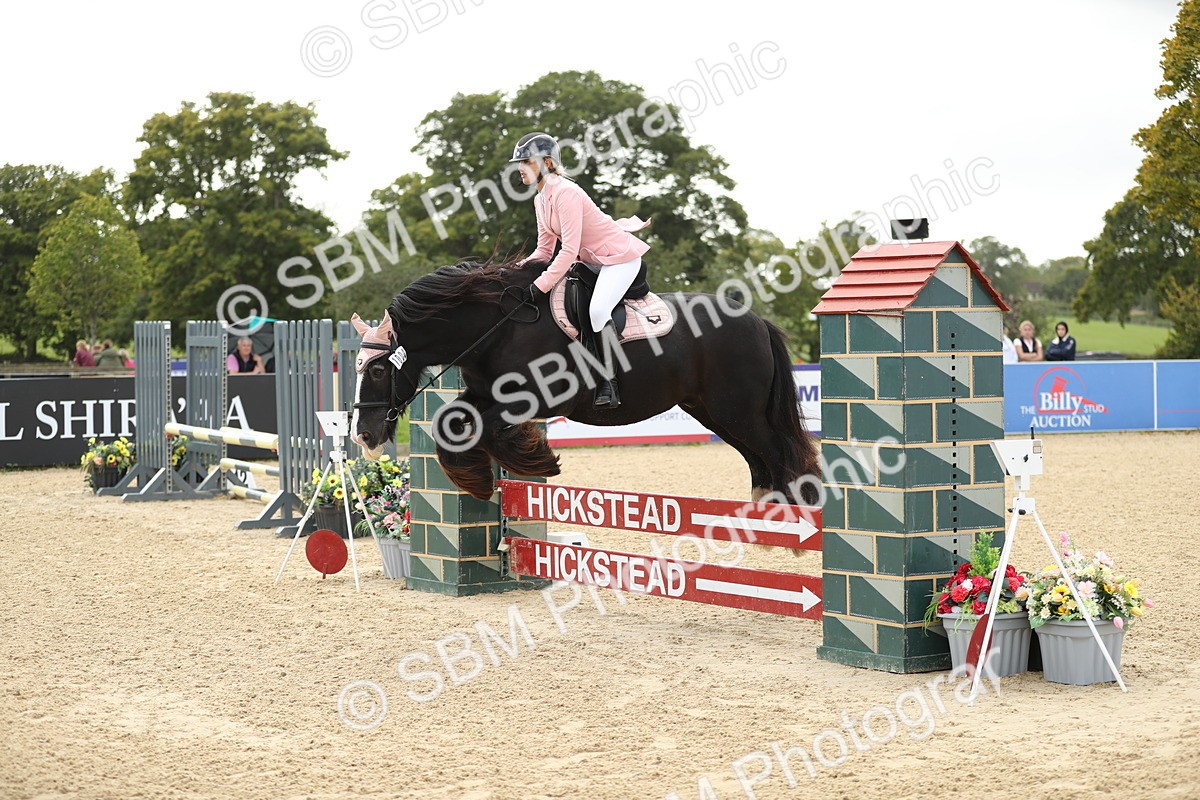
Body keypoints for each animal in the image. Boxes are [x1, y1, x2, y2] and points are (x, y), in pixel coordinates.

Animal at [350, 257, 821, 505]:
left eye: (377, 370)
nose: (363, 436)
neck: (498, 327)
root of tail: (755, 320)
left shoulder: (532, 399)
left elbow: (475, 427)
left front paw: (530, 461)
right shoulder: (483, 393)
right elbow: (452, 422)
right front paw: (487, 475)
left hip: (739, 411)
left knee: (780, 452)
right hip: (714, 413)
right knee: (759, 459)